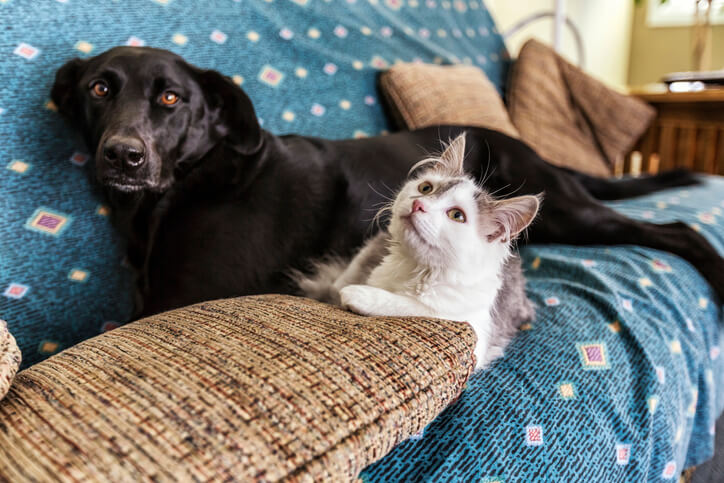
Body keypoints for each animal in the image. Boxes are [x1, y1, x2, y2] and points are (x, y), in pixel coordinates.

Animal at [52, 47, 724, 316]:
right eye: (99, 88)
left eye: (170, 97)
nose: (123, 156)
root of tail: (520, 142)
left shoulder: (187, 295)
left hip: (565, 210)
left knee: (678, 228)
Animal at [292, 134, 536, 368]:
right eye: (425, 188)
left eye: (457, 215)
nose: (419, 205)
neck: (413, 266)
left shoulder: (475, 330)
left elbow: (416, 307)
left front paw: (361, 295)